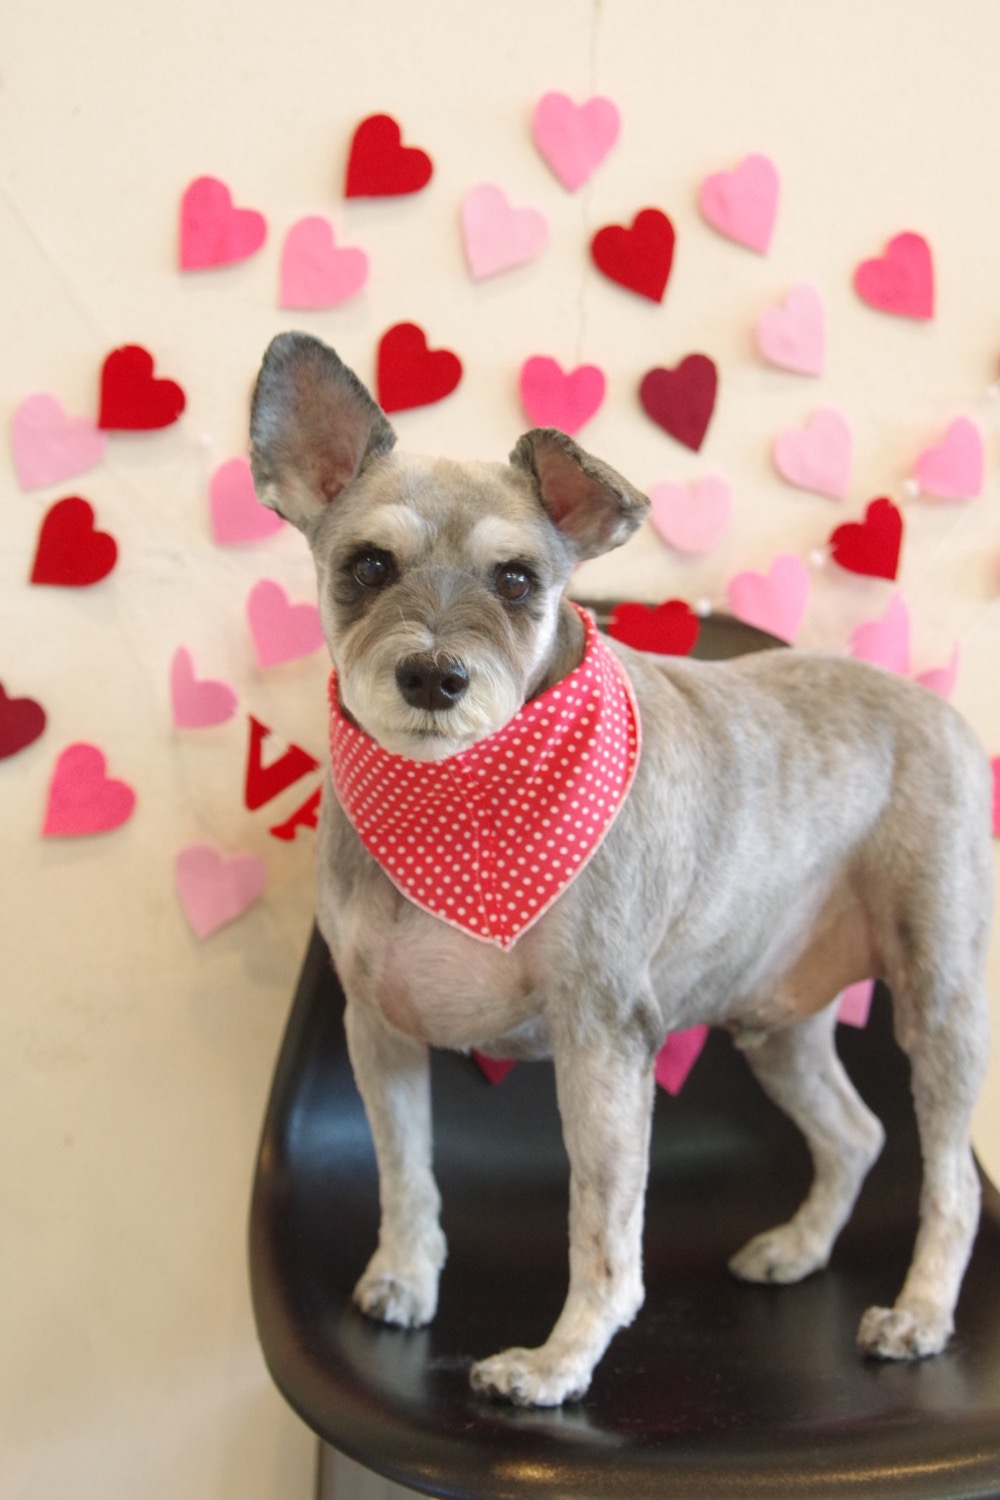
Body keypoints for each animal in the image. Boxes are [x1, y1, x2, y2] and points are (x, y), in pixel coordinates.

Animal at [249, 330, 993, 1408]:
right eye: (368, 564)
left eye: (518, 580)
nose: (433, 675)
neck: (457, 806)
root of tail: (935, 707)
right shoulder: (377, 1030)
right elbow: (405, 1173)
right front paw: (405, 1276)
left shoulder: (603, 1041)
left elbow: (601, 1231)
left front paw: (558, 1363)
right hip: (779, 1029)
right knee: (856, 1135)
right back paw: (798, 1248)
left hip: (939, 1005)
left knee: (951, 1181)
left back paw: (920, 1314)